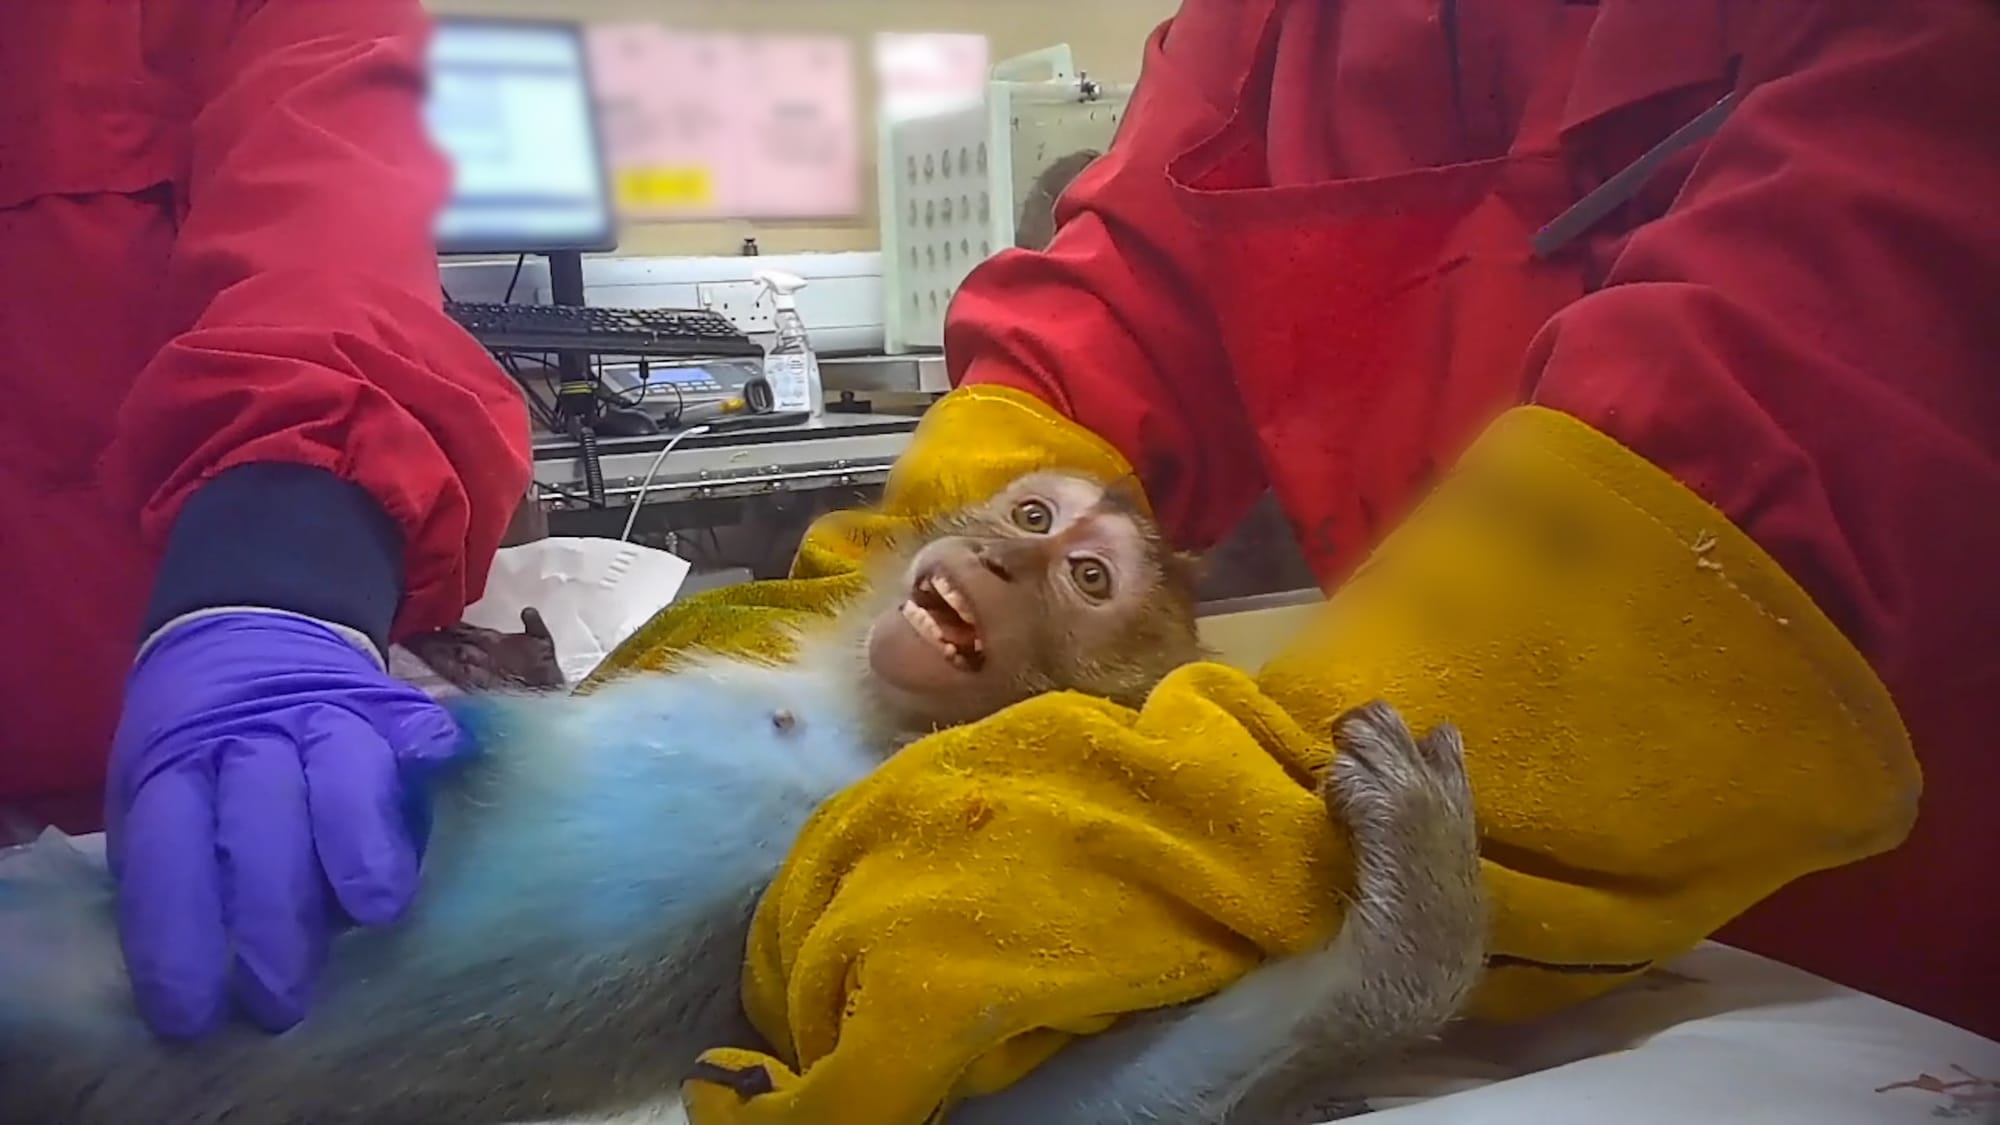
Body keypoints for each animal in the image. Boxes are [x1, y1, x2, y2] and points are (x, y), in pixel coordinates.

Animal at [0, 471, 1486, 1125]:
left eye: (1085, 580)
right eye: (1029, 520)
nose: (1007, 569)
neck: (865, 712)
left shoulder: (949, 829)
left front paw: (1409, 932)